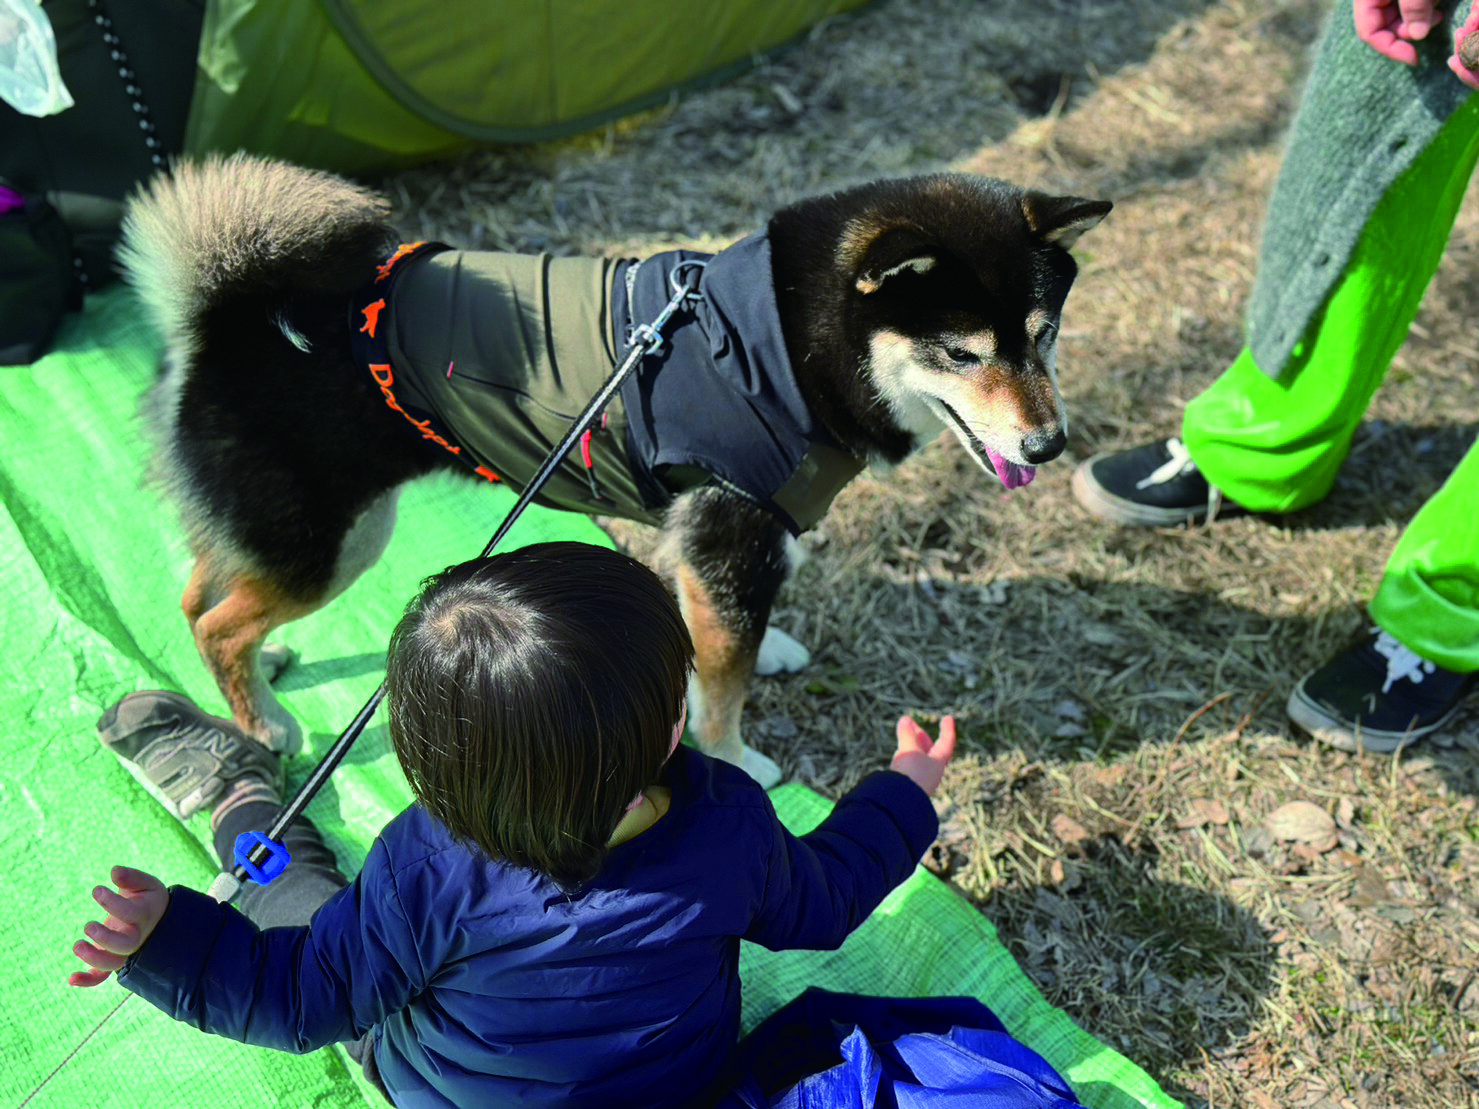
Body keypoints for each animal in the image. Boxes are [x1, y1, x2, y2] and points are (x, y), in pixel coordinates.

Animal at [121, 154, 1106, 792]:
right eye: (960, 352)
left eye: (1045, 333)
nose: (1048, 446)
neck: (788, 345)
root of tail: (219, 319)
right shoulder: (730, 531)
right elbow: (722, 686)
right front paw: (736, 759)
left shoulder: (719, 539)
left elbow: (721, 634)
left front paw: (769, 648)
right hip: (338, 544)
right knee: (214, 622)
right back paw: (262, 720)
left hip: (282, 534)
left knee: (197, 590)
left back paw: (266, 668)